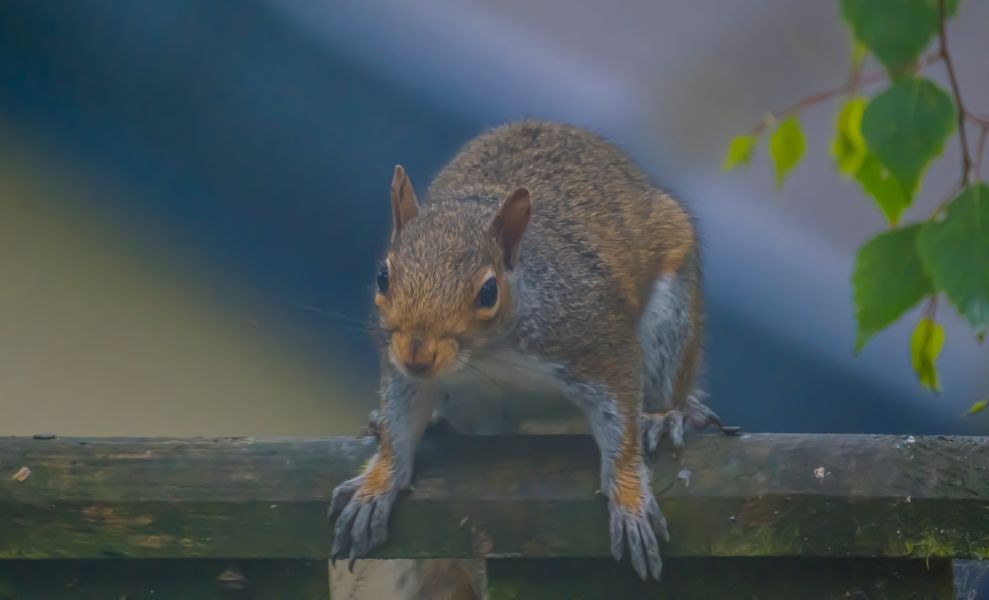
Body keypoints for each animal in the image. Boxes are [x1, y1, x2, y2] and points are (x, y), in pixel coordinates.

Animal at [328, 119, 728, 584]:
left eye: (487, 292)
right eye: (382, 277)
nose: (417, 356)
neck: (488, 354)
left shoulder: (597, 341)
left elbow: (621, 426)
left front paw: (630, 500)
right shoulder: (404, 372)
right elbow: (400, 424)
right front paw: (377, 484)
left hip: (671, 319)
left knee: (669, 386)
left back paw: (666, 417)